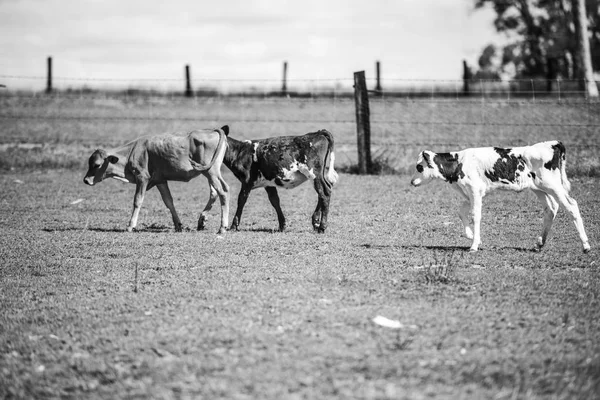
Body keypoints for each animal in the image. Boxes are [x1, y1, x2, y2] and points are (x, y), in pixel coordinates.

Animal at [81, 126, 229, 233]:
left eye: (97, 165)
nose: (86, 180)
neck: (132, 152)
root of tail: (212, 131)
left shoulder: (142, 178)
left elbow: (137, 200)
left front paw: (130, 225)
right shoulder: (160, 181)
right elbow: (169, 201)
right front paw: (178, 225)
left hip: (211, 172)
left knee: (222, 192)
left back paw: (222, 227)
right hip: (210, 173)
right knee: (216, 192)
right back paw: (203, 220)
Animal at [197, 128, 338, 234]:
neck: (240, 151)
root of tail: (317, 133)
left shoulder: (247, 182)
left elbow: (241, 201)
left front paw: (233, 225)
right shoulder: (268, 183)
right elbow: (275, 201)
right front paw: (282, 225)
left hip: (314, 173)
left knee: (324, 193)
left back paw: (322, 227)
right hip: (319, 174)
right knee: (324, 190)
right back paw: (315, 222)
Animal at [412, 141, 592, 253]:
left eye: (419, 167)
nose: (412, 181)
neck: (459, 162)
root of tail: (553, 143)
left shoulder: (475, 190)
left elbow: (475, 216)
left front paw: (474, 245)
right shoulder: (469, 193)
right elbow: (461, 212)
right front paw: (470, 235)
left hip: (553, 185)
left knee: (571, 205)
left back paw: (585, 245)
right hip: (539, 188)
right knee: (551, 208)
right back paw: (539, 243)